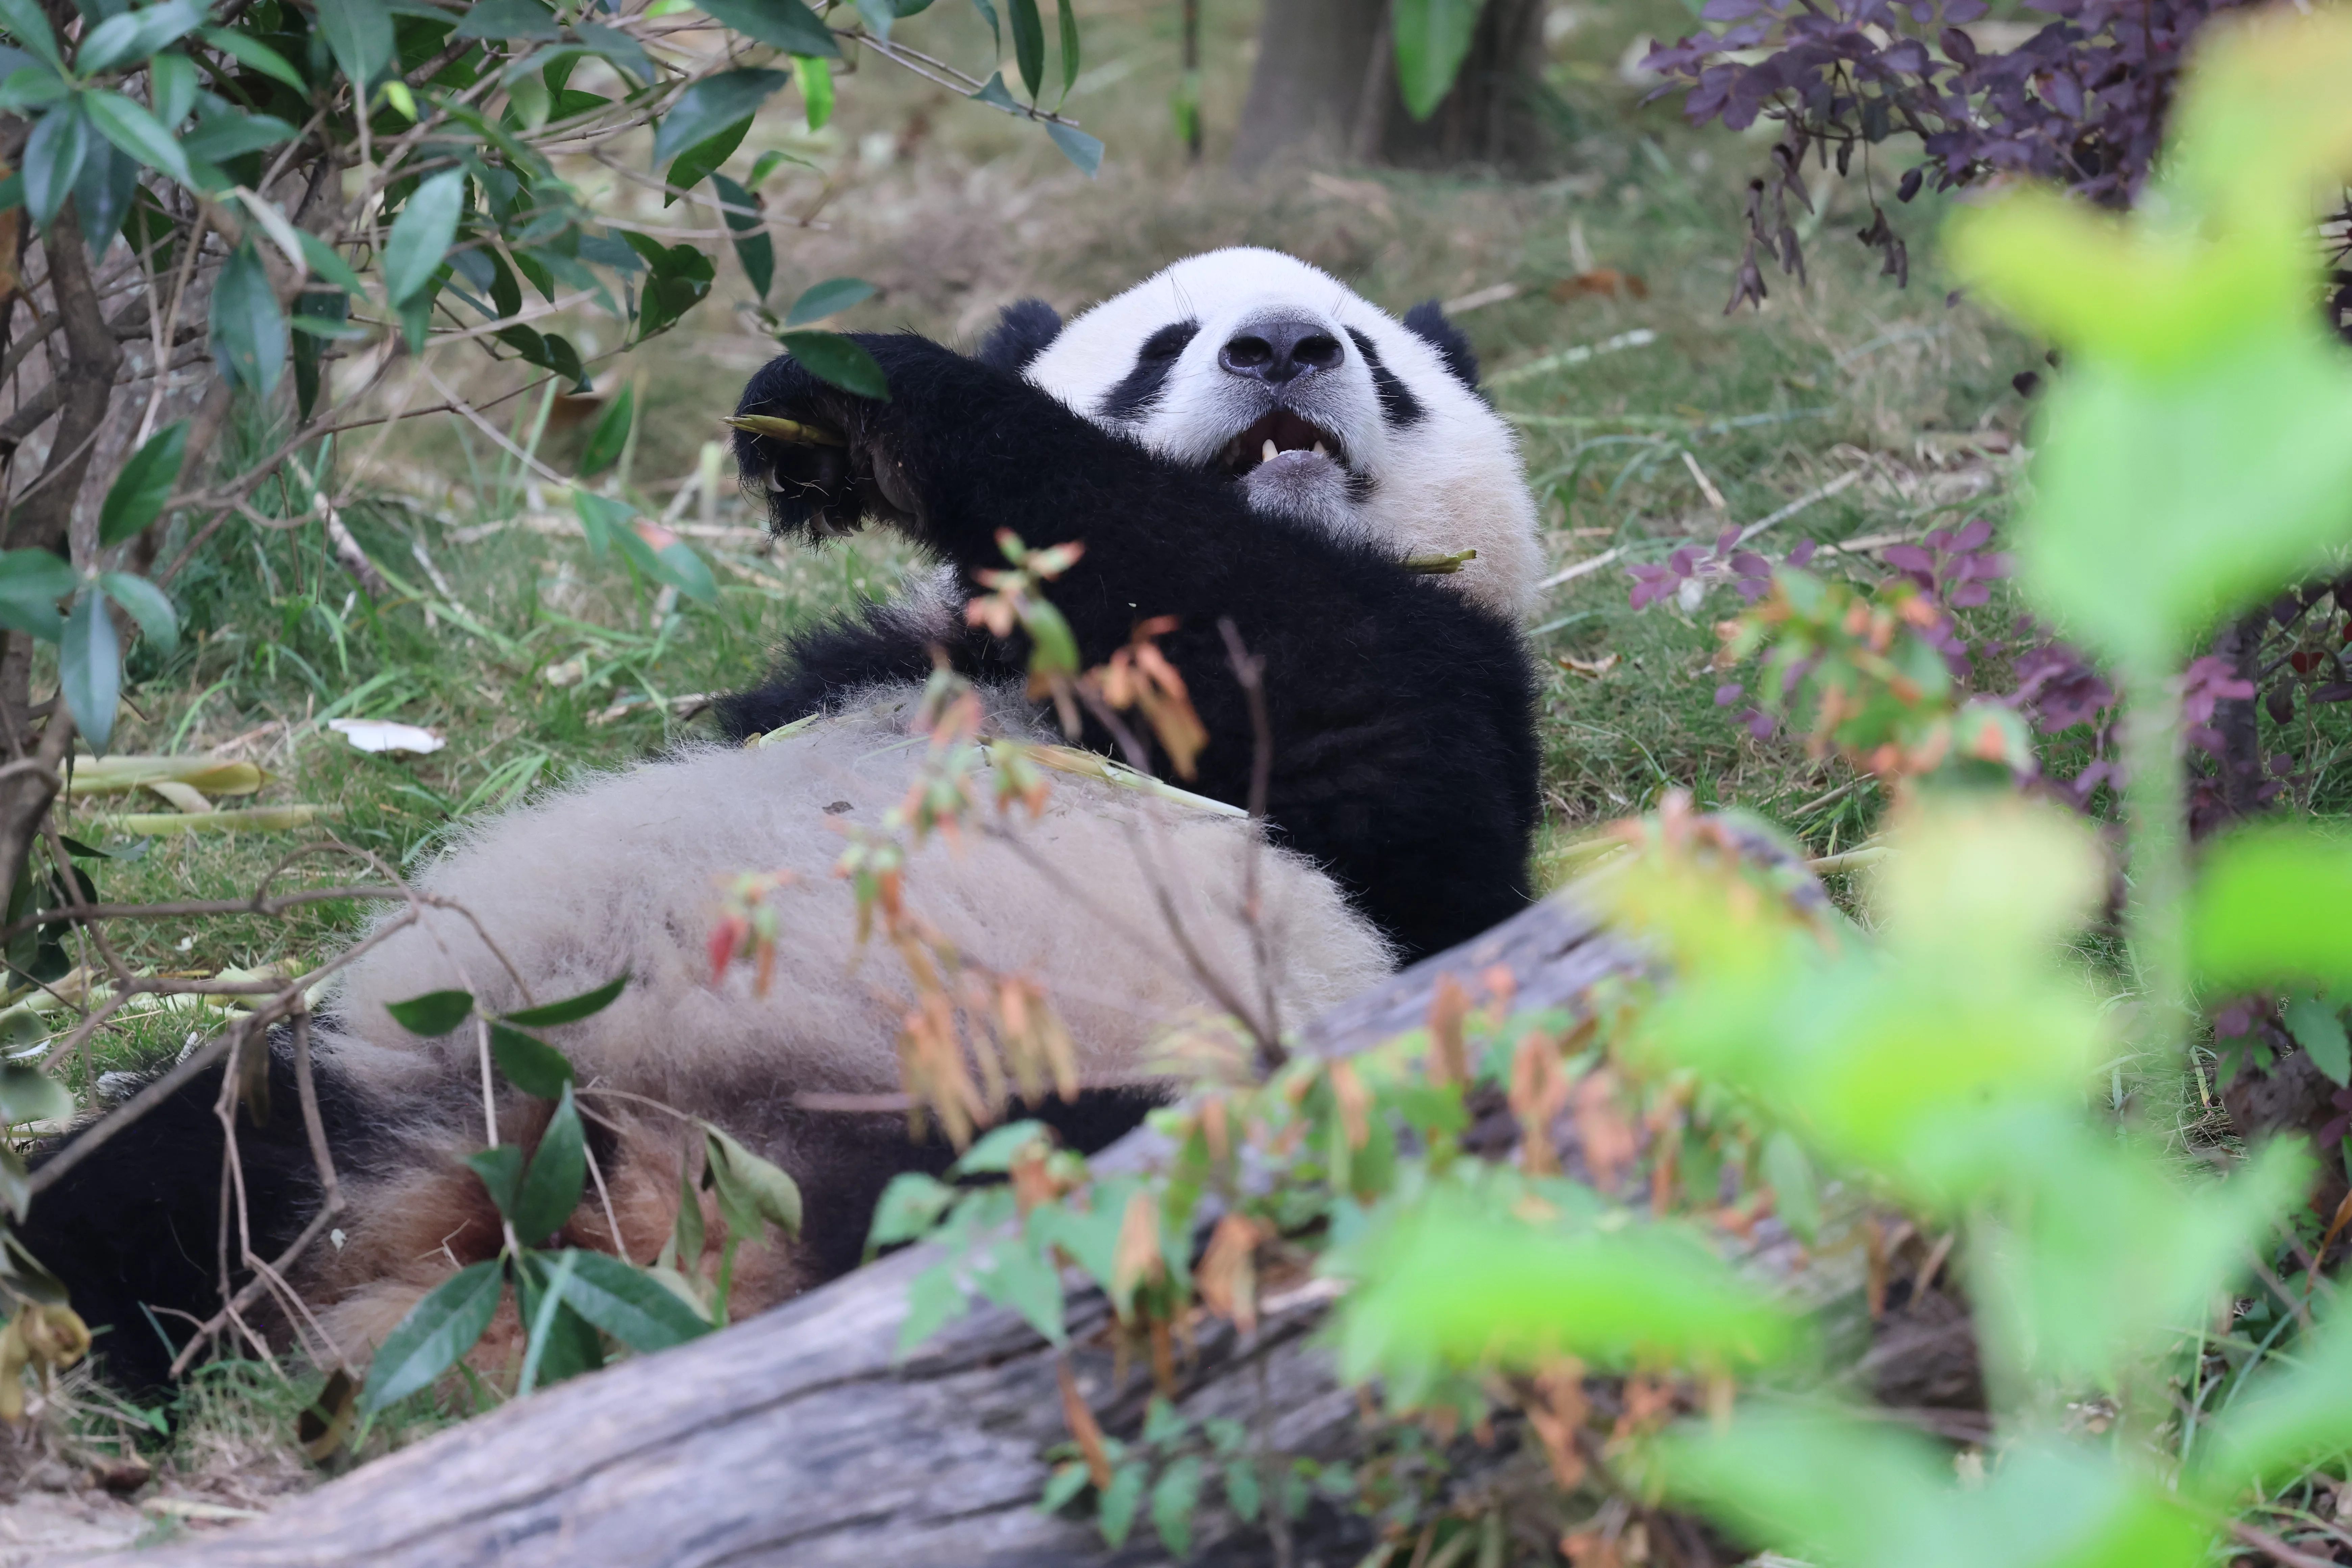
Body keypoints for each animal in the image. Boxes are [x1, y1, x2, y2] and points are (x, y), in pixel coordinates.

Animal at [25, 248, 1544, 1390]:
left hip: (1025, 1100)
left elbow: (1267, 623)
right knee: (170, 1165)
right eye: (1165, 345)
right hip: (419, 1075)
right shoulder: (849, 670)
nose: (1283, 348)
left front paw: (878, 395)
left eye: (1372, 354)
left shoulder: (1428, 715)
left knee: (986, 1197)